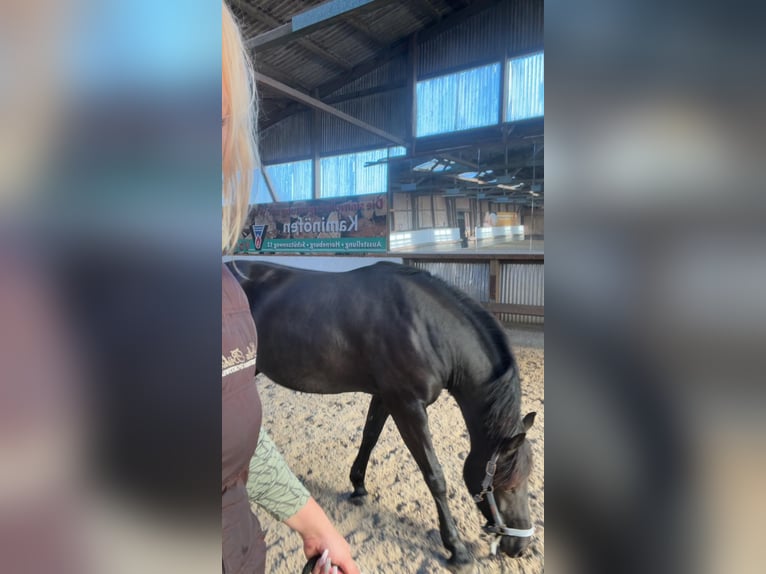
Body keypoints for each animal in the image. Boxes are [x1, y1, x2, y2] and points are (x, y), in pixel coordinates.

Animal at [231, 262, 536, 572]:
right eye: (510, 485)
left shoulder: (385, 397)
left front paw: (358, 486)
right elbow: (435, 476)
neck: (426, 328)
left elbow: (370, 437)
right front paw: (456, 548)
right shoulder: (408, 407)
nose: (520, 547)